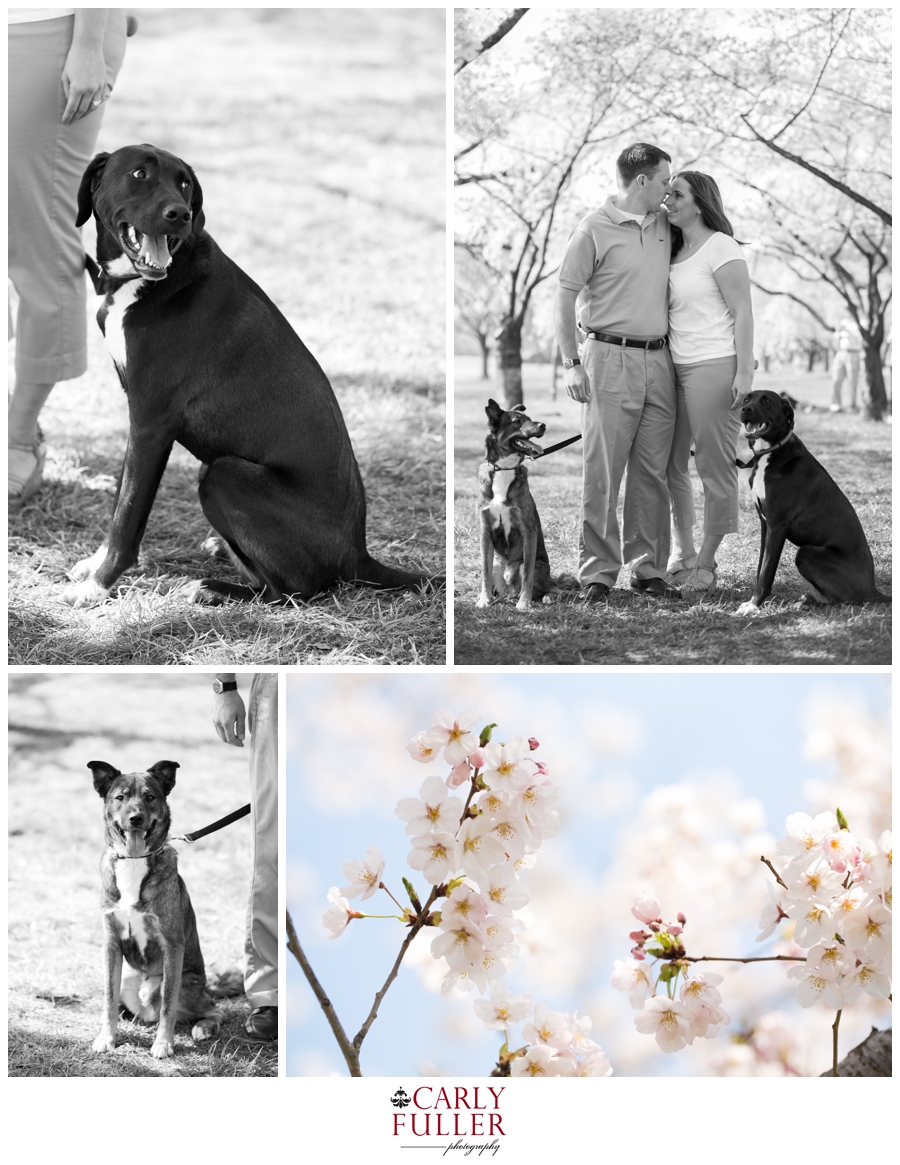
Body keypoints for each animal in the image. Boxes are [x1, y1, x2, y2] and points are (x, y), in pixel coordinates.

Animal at [62, 143, 435, 610]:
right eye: (139, 174)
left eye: (185, 183)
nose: (180, 214)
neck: (151, 282)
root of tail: (359, 555)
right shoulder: (140, 421)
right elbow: (119, 501)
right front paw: (94, 567)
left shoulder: (150, 424)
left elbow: (128, 514)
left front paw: (98, 585)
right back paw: (220, 552)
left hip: (223, 473)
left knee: (291, 591)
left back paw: (211, 587)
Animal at [735, 389, 889, 615]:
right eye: (747, 398)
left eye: (767, 400)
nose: (746, 409)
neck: (771, 453)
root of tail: (873, 590)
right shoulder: (765, 524)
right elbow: (761, 566)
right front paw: (754, 601)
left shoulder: (776, 526)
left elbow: (766, 571)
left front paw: (754, 605)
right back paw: (807, 600)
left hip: (806, 552)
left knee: (844, 601)